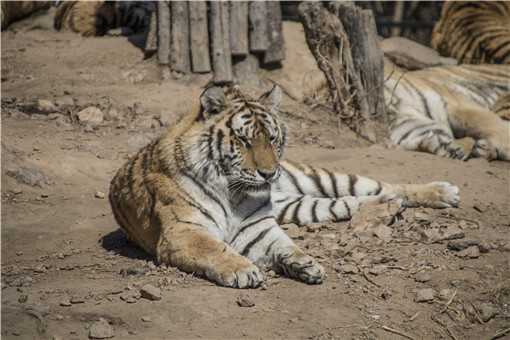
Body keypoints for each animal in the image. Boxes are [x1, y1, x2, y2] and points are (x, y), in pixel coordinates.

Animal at [109, 84, 460, 286]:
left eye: (273, 138)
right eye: (244, 141)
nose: (269, 174)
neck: (234, 193)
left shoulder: (258, 227)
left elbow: (286, 245)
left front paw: (304, 262)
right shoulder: (183, 232)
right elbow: (214, 248)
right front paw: (244, 270)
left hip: (320, 177)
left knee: (383, 185)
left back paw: (443, 192)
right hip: (302, 205)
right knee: (351, 201)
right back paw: (386, 208)